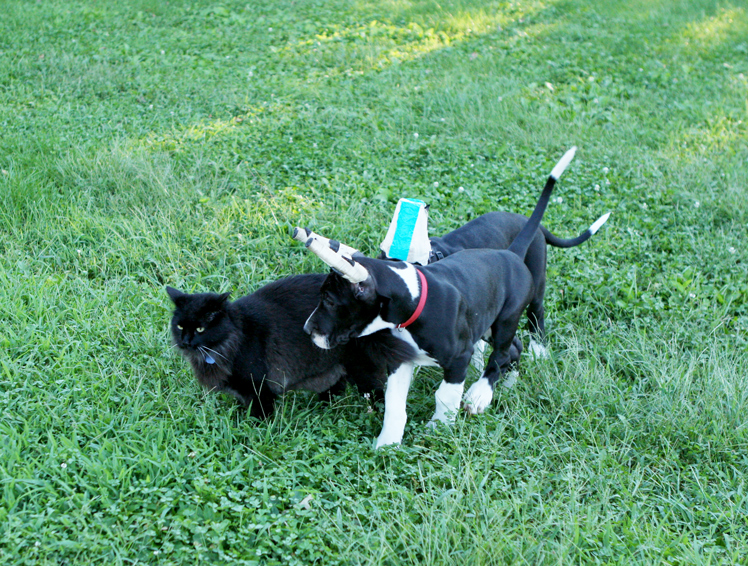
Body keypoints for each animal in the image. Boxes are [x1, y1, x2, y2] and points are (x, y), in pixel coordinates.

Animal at [300, 148, 596, 448]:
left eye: (330, 301)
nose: (307, 329)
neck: (414, 300)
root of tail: (512, 252)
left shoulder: (458, 358)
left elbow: (445, 395)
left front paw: (438, 429)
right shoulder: (401, 360)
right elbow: (394, 404)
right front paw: (388, 442)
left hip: (511, 313)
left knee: (511, 342)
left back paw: (482, 393)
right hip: (486, 323)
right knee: (514, 347)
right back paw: (508, 382)